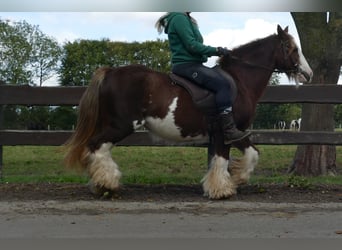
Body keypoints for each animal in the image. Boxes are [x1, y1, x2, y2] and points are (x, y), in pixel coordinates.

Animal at [63, 24, 312, 199]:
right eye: (291, 48)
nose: (308, 74)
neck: (240, 81)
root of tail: (110, 71)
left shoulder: (236, 131)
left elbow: (251, 154)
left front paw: (236, 178)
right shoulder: (225, 131)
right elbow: (223, 159)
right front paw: (222, 189)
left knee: (96, 148)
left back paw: (100, 184)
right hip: (121, 125)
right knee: (97, 146)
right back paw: (108, 184)